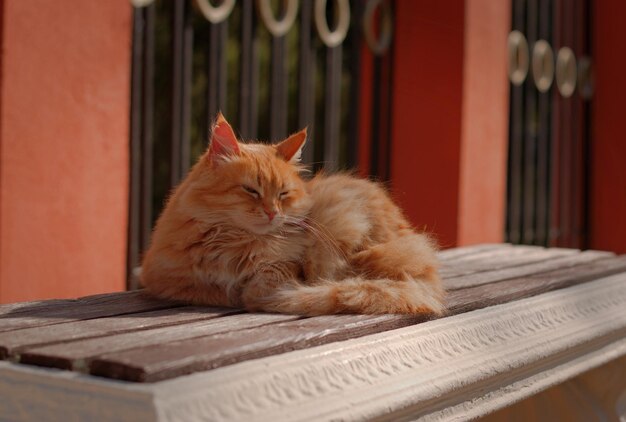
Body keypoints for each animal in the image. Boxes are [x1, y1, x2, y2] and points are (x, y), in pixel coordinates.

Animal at [141, 113, 444, 314]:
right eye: (251, 190)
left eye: (282, 194)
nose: (272, 212)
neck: (232, 240)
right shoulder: (165, 279)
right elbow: (212, 291)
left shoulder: (286, 264)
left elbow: (259, 285)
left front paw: (253, 293)